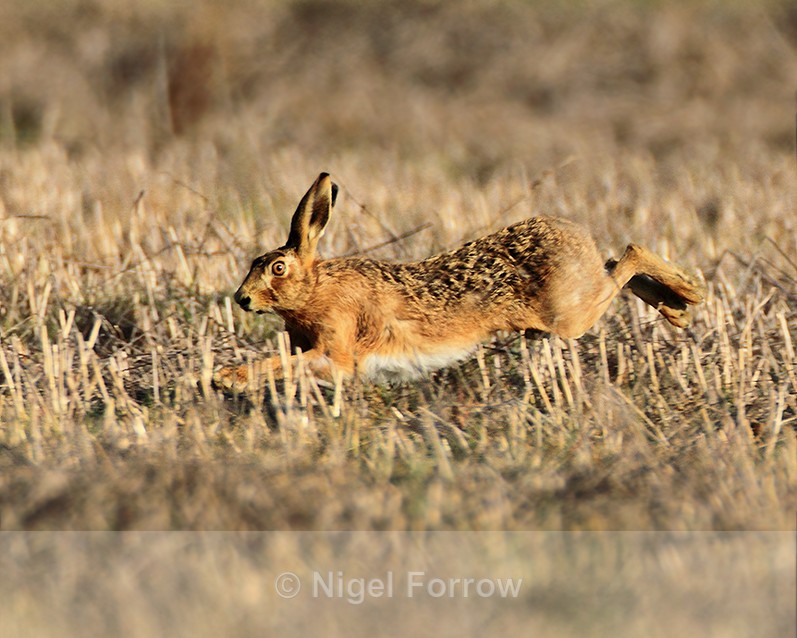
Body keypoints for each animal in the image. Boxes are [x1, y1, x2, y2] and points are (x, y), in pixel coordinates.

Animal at [213, 173, 704, 390]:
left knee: (629, 255)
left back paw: (688, 293)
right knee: (616, 264)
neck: (315, 290)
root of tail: (573, 233)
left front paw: (227, 378)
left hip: (569, 315)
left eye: (277, 268)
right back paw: (676, 309)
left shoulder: (337, 351)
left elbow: (287, 364)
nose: (241, 299)